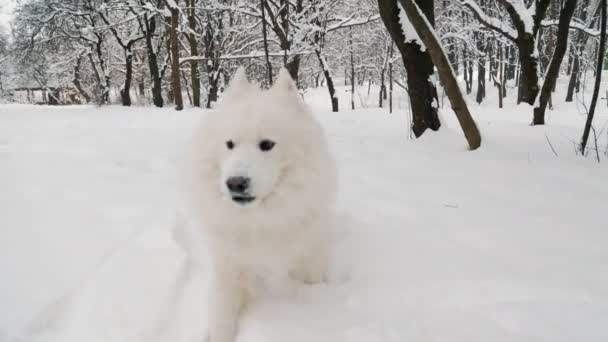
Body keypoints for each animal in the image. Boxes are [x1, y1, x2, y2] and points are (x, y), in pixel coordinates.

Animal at [185, 68, 338, 342]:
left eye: (266, 144)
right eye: (229, 144)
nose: (235, 183)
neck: (261, 220)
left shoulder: (309, 260)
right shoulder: (228, 265)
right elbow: (221, 317)